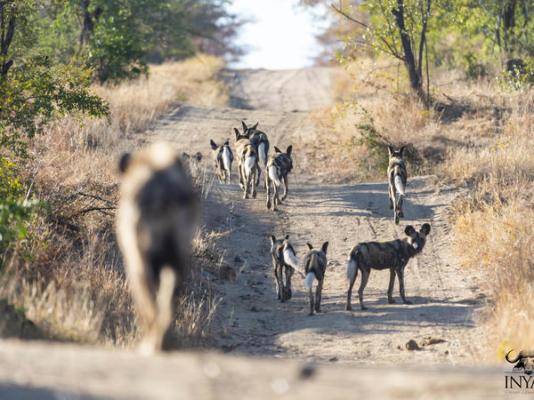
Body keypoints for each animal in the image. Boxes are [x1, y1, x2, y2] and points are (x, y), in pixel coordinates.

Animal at [116, 143, 198, 354]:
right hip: (176, 260)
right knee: (167, 304)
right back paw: (163, 343)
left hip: (141, 261)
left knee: (151, 304)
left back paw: (151, 345)